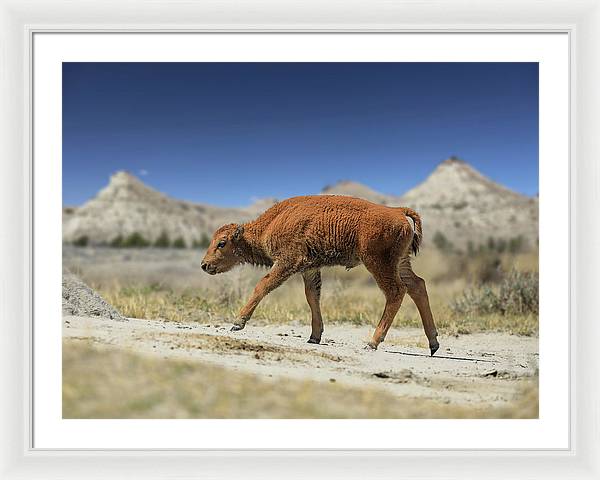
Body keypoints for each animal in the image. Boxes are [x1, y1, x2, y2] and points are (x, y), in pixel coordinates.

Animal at [202, 195, 440, 356]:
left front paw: (237, 322)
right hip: (401, 263)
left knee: (396, 291)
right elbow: (312, 297)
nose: (204, 265)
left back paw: (372, 342)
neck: (271, 224)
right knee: (417, 286)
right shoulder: (309, 269)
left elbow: (263, 285)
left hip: (378, 263)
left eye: (222, 243)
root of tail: (398, 211)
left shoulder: (288, 262)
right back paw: (433, 343)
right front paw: (314, 337)